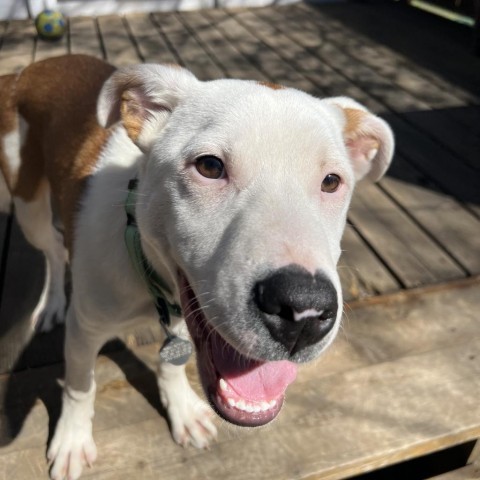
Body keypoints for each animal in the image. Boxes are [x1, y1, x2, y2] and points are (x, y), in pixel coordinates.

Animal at [0, 54, 394, 478]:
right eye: (209, 166)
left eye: (332, 182)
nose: (303, 313)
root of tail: (33, 68)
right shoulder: (84, 328)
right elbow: (79, 386)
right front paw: (73, 440)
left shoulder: (188, 314)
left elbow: (173, 362)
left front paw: (182, 411)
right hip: (28, 208)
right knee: (54, 250)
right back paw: (53, 302)